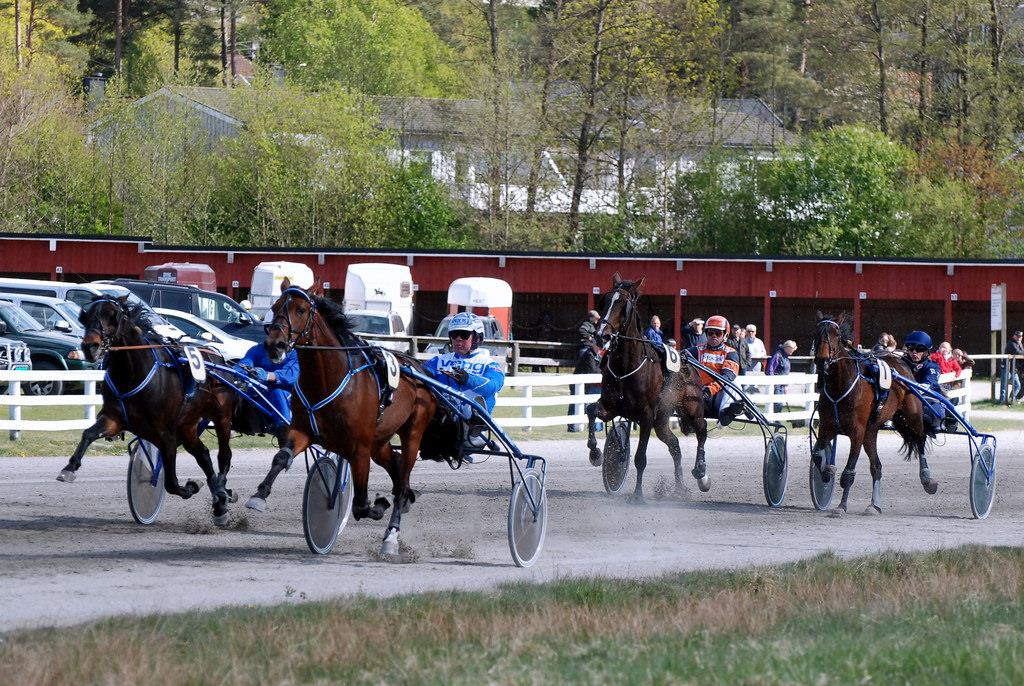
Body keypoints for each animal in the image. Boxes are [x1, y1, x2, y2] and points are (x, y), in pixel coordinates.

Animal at [62, 296, 238, 528]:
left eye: (113, 316)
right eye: (86, 316)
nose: (90, 346)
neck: (133, 372)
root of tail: (217, 355)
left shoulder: (166, 435)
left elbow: (171, 483)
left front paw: (191, 487)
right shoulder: (113, 419)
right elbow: (88, 434)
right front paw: (69, 468)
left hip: (221, 417)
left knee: (223, 455)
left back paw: (222, 492)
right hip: (188, 425)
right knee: (203, 455)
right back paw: (219, 504)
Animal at [244, 282, 436, 556]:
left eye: (301, 309)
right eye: (275, 306)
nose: (275, 344)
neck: (328, 379)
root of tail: (419, 367)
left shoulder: (359, 448)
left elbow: (361, 505)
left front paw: (379, 505)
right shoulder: (302, 431)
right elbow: (281, 458)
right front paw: (259, 495)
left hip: (412, 432)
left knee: (402, 479)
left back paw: (391, 536)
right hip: (379, 442)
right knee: (397, 467)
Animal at [585, 274, 712, 505]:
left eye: (623, 304)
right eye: (605, 301)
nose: (601, 335)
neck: (627, 366)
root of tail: (690, 363)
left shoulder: (646, 416)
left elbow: (640, 458)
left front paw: (637, 495)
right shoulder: (611, 407)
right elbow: (591, 410)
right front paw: (595, 453)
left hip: (692, 410)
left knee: (702, 430)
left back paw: (700, 470)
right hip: (661, 421)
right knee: (675, 446)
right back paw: (680, 488)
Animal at [811, 313, 937, 516]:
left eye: (836, 334)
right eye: (816, 333)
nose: (822, 360)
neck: (840, 386)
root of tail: (902, 363)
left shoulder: (857, 432)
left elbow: (849, 472)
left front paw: (841, 506)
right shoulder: (826, 427)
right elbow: (817, 455)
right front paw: (827, 472)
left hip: (912, 416)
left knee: (920, 439)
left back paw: (927, 479)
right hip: (871, 431)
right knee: (876, 466)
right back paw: (874, 505)